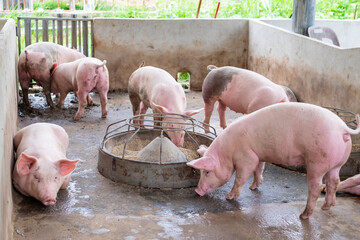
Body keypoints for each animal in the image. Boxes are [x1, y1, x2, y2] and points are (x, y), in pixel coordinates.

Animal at [187, 103, 360, 219]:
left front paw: (229, 197)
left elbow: (241, 177)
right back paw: (326, 207)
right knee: (334, 181)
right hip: (337, 164)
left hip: (317, 161)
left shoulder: (246, 157)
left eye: (207, 172)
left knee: (316, 187)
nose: (197, 191)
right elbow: (259, 170)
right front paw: (253, 187)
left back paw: (303, 215)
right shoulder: (258, 155)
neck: (227, 151)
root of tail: (342, 128)